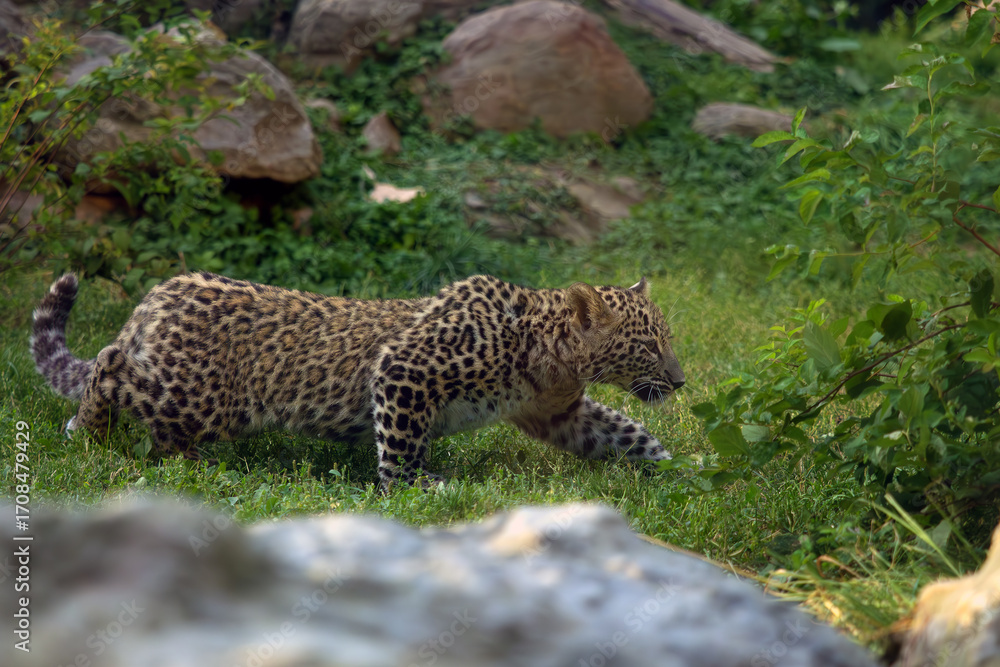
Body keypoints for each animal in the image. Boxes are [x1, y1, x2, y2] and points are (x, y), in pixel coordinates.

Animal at [31, 272, 685, 489]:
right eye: (650, 345)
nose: (681, 382)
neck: (554, 359)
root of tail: (159, 294)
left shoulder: (559, 413)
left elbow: (624, 433)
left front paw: (680, 471)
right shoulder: (404, 370)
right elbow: (402, 442)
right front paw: (413, 490)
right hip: (195, 397)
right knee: (110, 367)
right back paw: (87, 433)